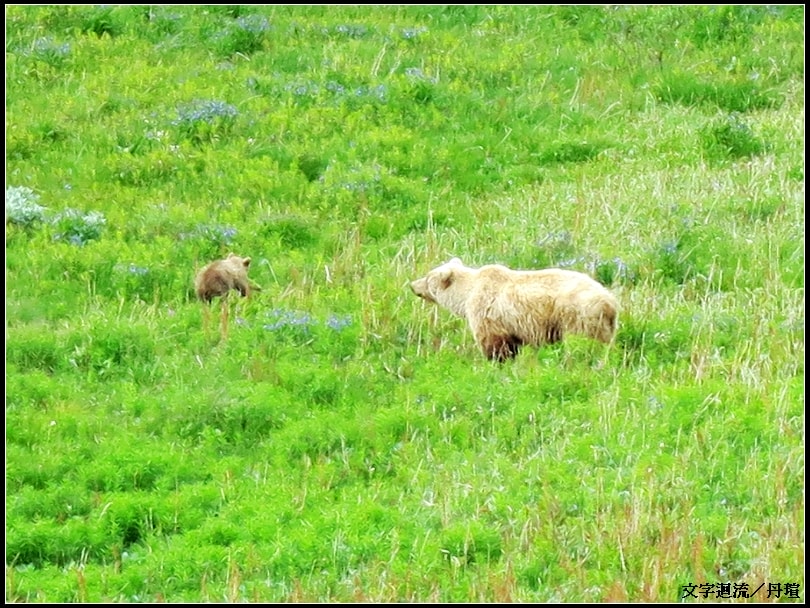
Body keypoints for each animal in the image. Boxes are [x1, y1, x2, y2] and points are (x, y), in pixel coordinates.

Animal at [410, 257, 618, 362]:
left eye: (427, 278)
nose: (412, 285)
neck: (466, 295)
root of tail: (609, 302)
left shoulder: (487, 312)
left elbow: (493, 343)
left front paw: (497, 362)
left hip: (577, 316)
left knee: (583, 345)